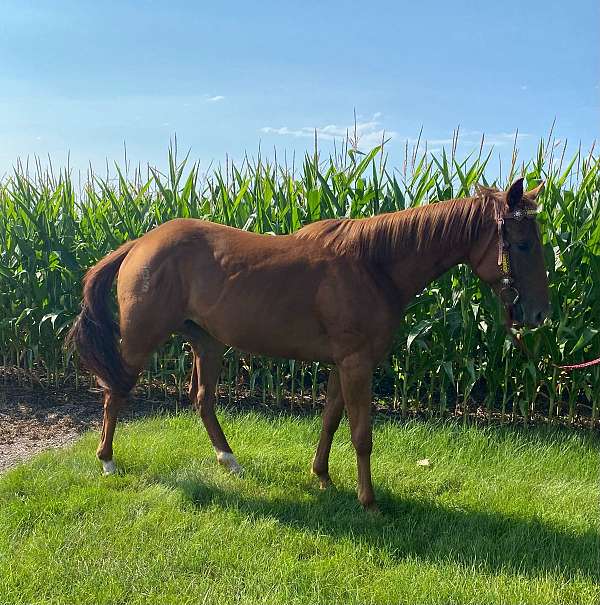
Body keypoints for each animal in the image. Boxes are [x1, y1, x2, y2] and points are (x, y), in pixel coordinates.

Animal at [67, 178, 548, 510]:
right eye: (523, 244)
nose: (539, 314)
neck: (373, 265)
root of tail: (139, 244)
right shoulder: (357, 364)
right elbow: (361, 433)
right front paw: (369, 502)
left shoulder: (342, 364)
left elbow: (331, 422)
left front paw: (323, 477)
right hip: (141, 340)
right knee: (115, 392)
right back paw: (107, 460)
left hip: (207, 342)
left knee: (202, 399)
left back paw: (229, 460)